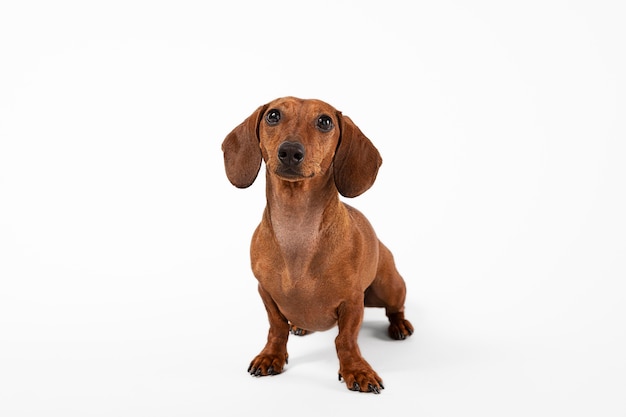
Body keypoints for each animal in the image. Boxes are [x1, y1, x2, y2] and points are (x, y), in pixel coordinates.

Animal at [222, 96, 412, 392]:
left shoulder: (352, 301)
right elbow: (277, 328)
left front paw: (357, 370)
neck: (297, 231)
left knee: (395, 308)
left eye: (325, 121)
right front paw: (271, 356)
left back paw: (400, 325)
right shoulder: (265, 292)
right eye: (273, 115)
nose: (290, 151)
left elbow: (345, 340)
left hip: (388, 285)